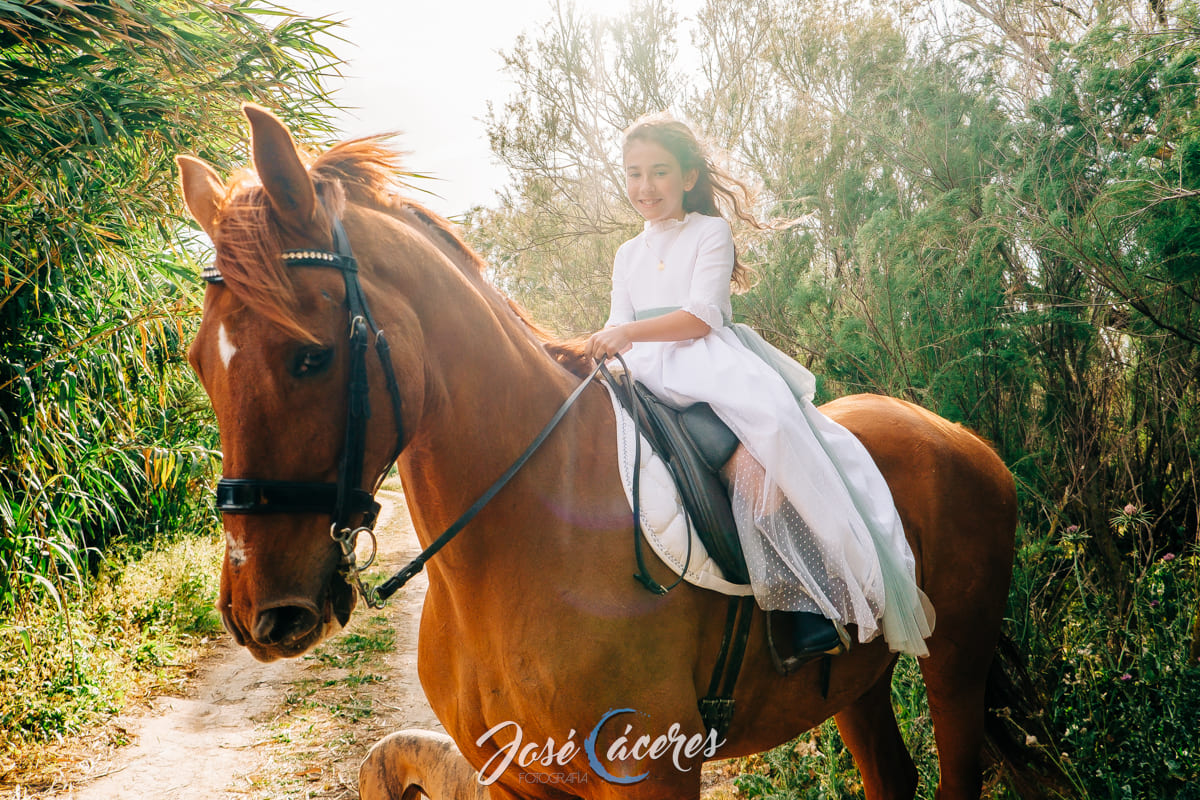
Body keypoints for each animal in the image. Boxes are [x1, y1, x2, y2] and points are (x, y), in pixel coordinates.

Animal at [177, 106, 1022, 800]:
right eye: (197, 364)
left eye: (311, 358)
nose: (259, 613)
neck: (524, 536)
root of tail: (962, 438)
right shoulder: (518, 782)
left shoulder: (652, 774)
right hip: (858, 680)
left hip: (955, 660)